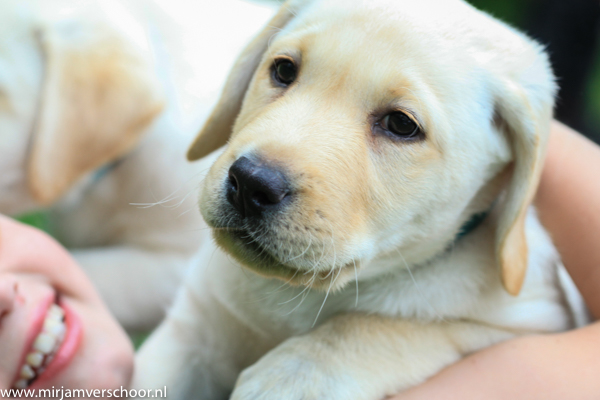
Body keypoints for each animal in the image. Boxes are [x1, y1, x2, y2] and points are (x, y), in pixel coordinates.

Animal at [135, 0, 584, 398]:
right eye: (283, 70)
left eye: (401, 124)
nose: (249, 183)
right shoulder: (192, 330)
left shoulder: (527, 324)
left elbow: (399, 328)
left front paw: (294, 374)